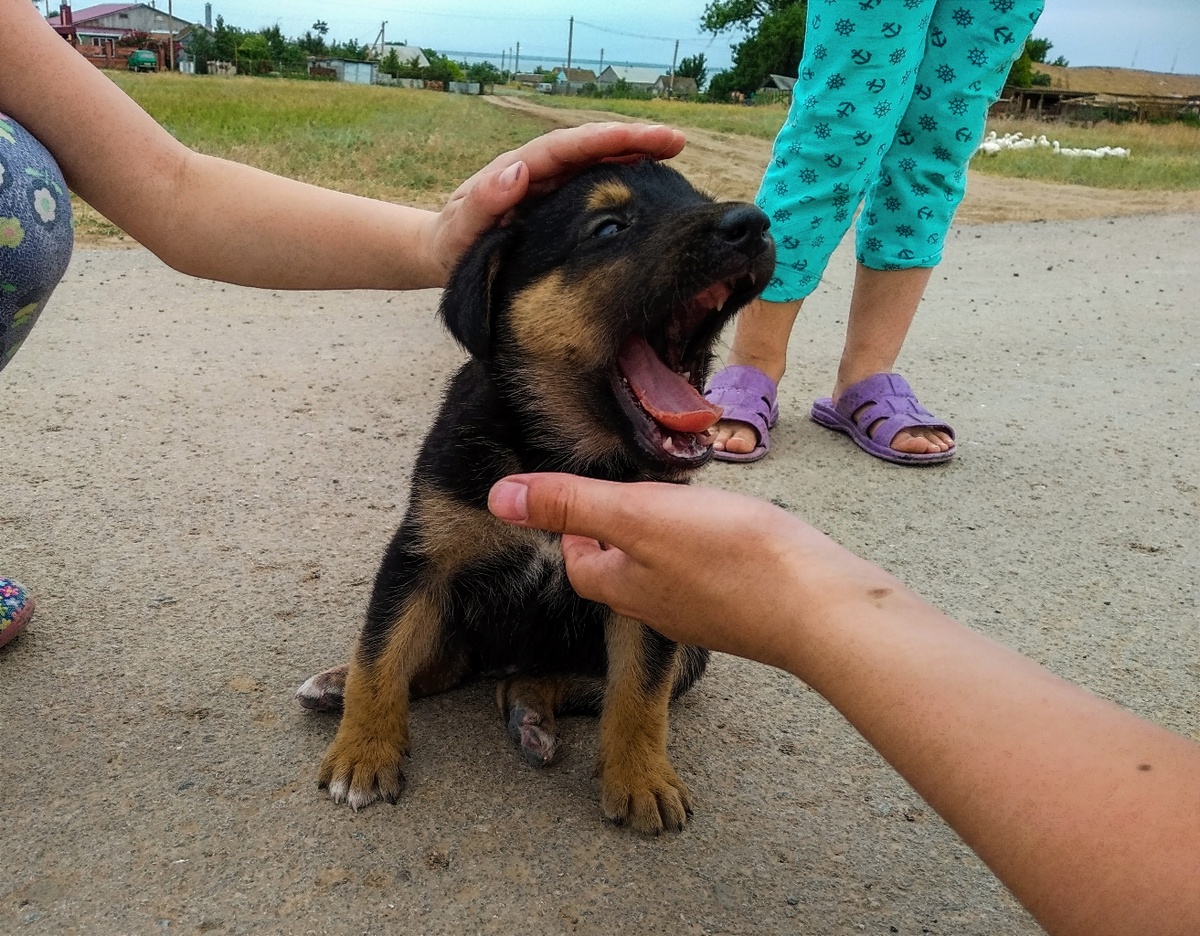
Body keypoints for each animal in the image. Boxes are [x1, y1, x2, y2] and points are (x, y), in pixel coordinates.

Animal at [298, 159, 768, 835]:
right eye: (609, 226)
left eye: (699, 198)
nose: (754, 223)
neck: (560, 455)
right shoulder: (419, 556)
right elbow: (380, 655)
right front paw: (363, 750)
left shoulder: (648, 589)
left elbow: (639, 694)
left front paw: (641, 776)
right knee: (438, 660)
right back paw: (339, 685)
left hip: (692, 647)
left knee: (561, 679)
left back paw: (530, 708)